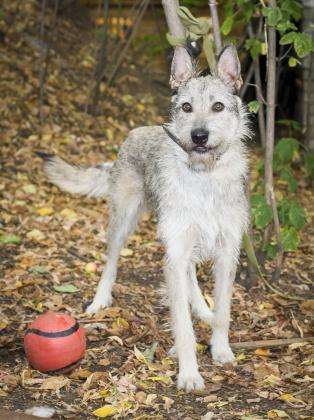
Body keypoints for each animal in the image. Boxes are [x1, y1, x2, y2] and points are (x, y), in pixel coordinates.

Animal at [39, 46, 250, 394]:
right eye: (187, 107)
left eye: (218, 106)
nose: (199, 135)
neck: (203, 177)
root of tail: (136, 131)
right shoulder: (176, 250)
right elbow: (183, 327)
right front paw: (189, 373)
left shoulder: (225, 253)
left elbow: (224, 311)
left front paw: (221, 349)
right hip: (124, 224)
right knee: (110, 264)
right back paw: (100, 301)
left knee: (192, 278)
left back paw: (202, 309)